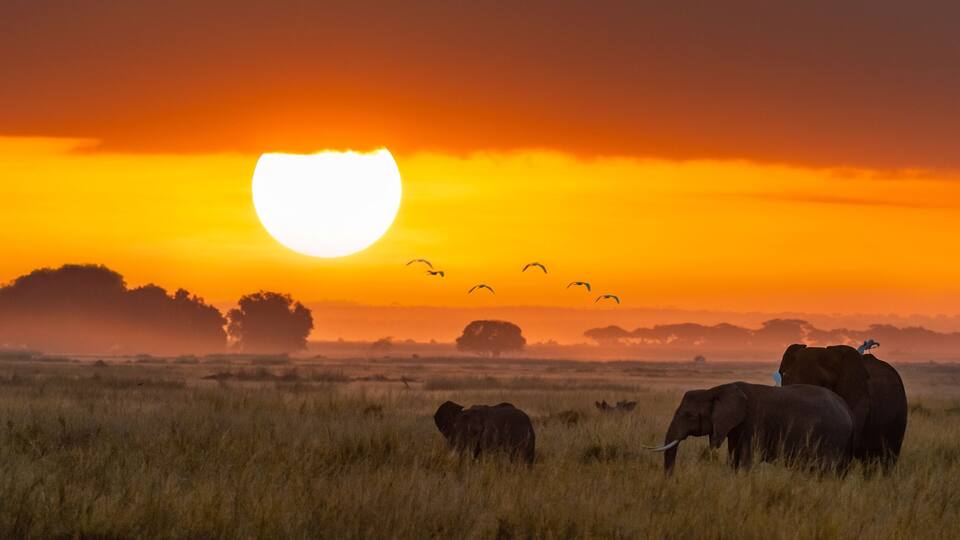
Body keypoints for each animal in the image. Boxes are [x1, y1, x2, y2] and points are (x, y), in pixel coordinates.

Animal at [649, 382, 854, 473]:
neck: (716, 390)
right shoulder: (735, 427)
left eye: (689, 416)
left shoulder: (752, 423)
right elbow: (734, 458)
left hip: (831, 437)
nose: (670, 479)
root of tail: (847, 409)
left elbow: (746, 459)